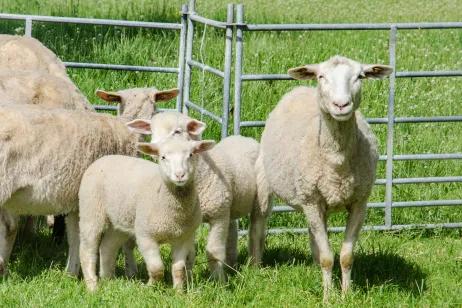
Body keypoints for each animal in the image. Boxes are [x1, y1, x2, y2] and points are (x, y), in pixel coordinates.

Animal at [78, 137, 216, 292]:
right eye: (163, 157)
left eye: (191, 155)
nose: (180, 175)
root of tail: (104, 158)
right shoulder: (145, 236)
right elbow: (157, 268)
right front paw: (149, 287)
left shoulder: (183, 237)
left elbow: (179, 269)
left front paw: (179, 292)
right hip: (91, 211)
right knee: (87, 250)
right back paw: (93, 286)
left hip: (120, 220)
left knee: (108, 246)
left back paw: (108, 280)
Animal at [124, 112, 272, 282]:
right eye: (152, 131)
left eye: (177, 131)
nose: (156, 149)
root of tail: (245, 138)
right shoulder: (193, 220)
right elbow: (189, 255)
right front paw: (189, 280)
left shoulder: (217, 216)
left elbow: (214, 251)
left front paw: (218, 281)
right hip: (229, 204)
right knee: (232, 231)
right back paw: (231, 265)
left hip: (261, 200)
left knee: (256, 231)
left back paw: (254, 265)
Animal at [258, 55, 392, 300]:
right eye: (322, 76)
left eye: (360, 76)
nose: (341, 105)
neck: (337, 162)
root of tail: (302, 87)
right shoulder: (312, 201)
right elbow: (328, 257)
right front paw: (328, 297)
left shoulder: (360, 202)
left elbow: (346, 256)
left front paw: (347, 295)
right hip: (295, 194)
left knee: (314, 238)